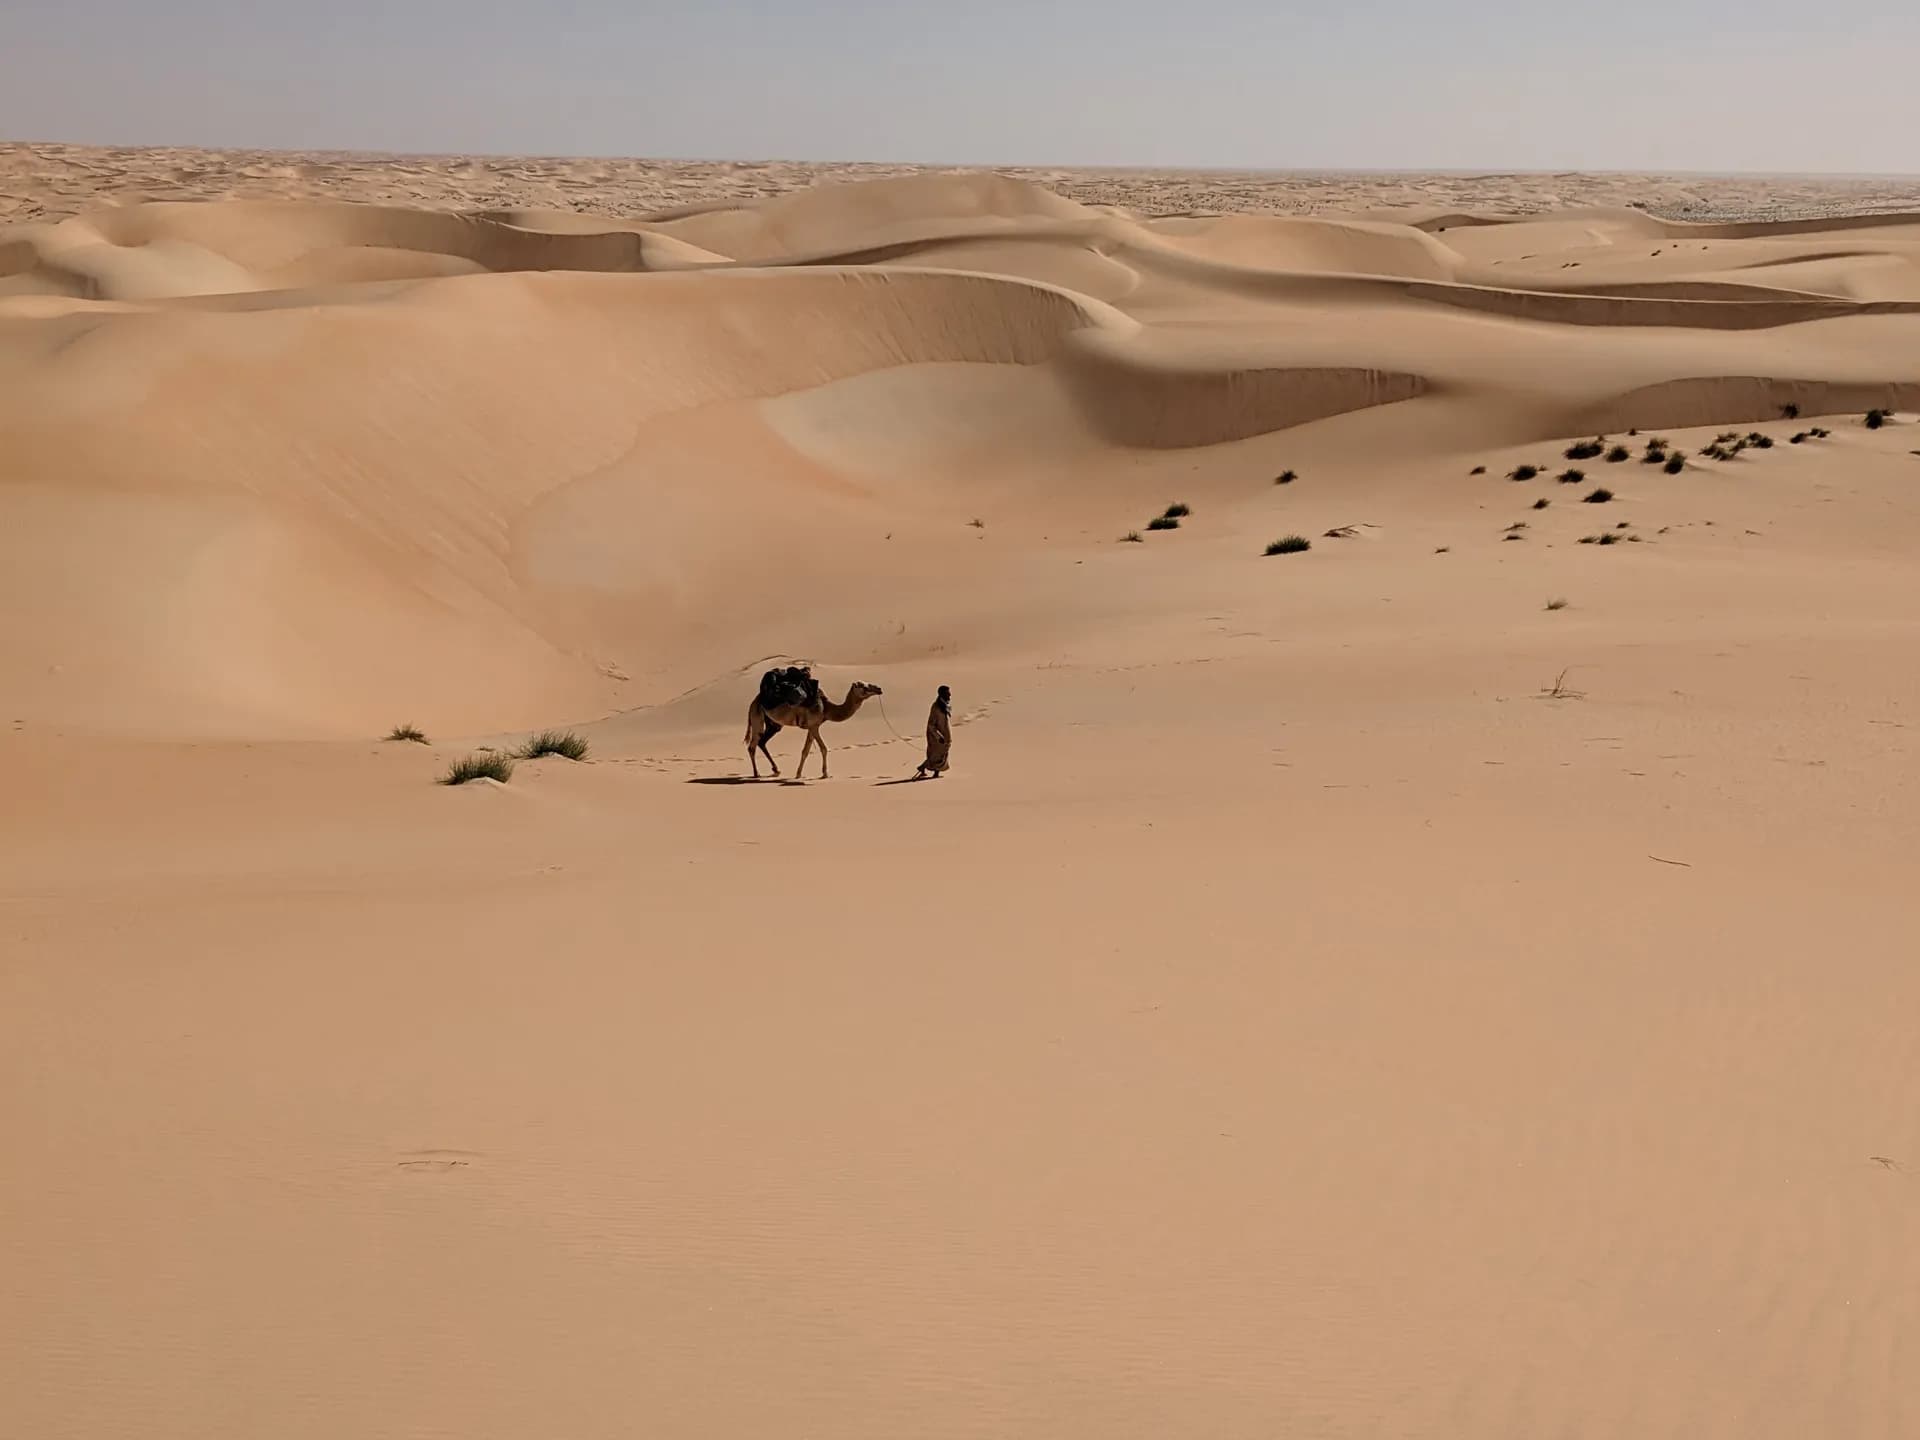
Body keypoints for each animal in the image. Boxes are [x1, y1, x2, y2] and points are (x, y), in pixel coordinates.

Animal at [748, 683, 883, 783]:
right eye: (864, 686)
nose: (879, 689)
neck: (826, 708)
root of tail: (753, 702)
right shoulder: (814, 726)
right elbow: (823, 748)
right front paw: (825, 773)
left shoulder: (812, 727)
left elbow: (805, 751)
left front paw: (798, 774)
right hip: (757, 718)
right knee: (752, 745)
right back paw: (756, 774)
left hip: (773, 724)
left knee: (761, 742)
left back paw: (776, 770)